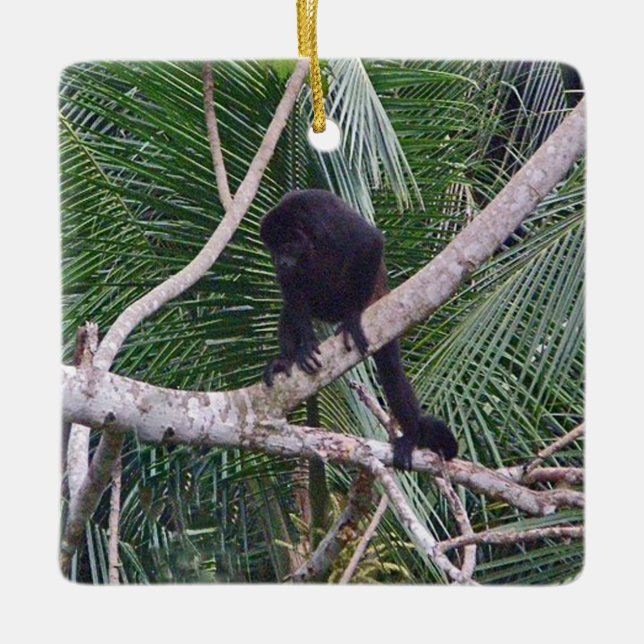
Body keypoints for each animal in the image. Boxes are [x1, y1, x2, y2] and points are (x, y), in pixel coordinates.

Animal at [260, 189, 458, 471]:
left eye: (286, 246)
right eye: (274, 250)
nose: (281, 261)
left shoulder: (327, 218)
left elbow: (370, 242)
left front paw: (353, 318)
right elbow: (290, 289)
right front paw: (305, 345)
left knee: (391, 372)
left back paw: (411, 434)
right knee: (290, 310)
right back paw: (285, 360)